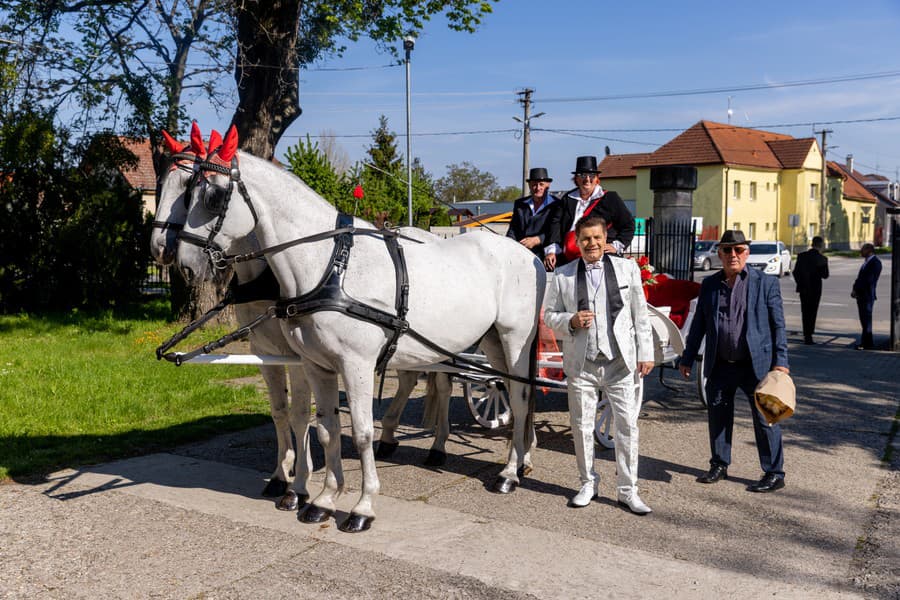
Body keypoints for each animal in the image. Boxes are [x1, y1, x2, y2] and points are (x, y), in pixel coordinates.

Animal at [172, 124, 544, 532]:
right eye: (186, 191)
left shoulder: (357, 365)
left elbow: (362, 433)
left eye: (212, 195)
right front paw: (322, 499)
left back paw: (509, 473)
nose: (183, 264)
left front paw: (362, 506)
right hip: (489, 341)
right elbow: (326, 429)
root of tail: (528, 254)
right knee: (505, 390)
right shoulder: (315, 365)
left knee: (520, 397)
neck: (331, 265)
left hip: (515, 339)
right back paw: (517, 459)